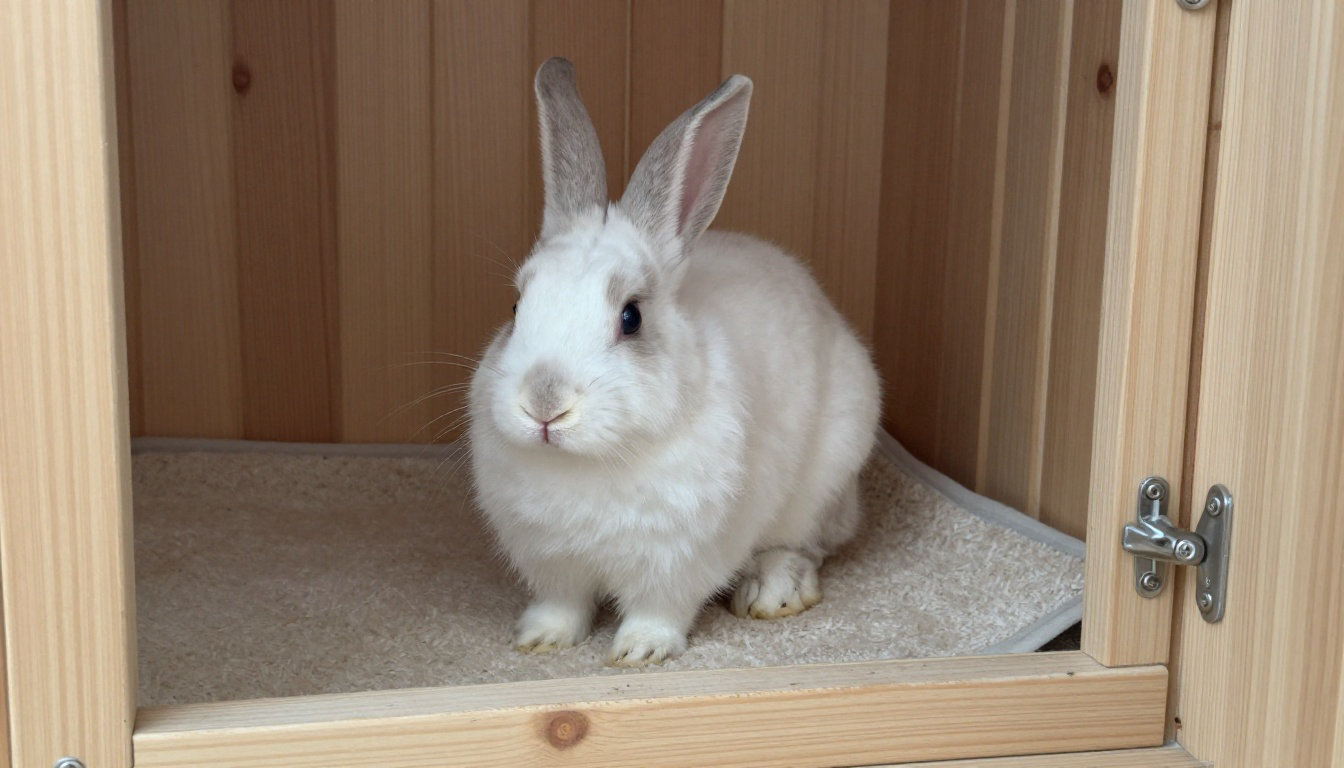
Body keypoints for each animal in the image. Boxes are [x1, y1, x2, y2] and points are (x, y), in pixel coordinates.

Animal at [468, 57, 881, 667]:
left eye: (631, 317)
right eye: (517, 306)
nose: (545, 405)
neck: (589, 463)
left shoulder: (679, 562)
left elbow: (659, 609)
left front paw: (639, 652)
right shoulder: (554, 564)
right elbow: (563, 604)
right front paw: (541, 639)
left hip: (825, 477)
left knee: (805, 544)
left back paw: (773, 591)